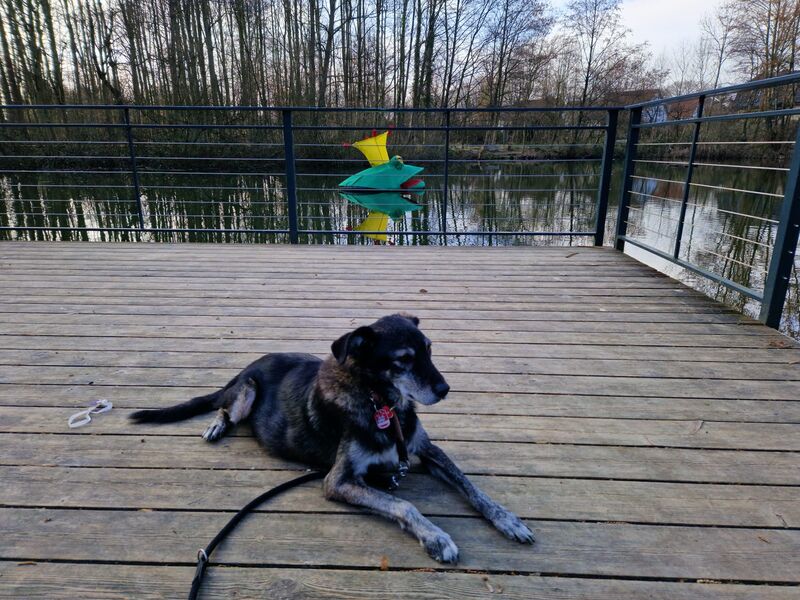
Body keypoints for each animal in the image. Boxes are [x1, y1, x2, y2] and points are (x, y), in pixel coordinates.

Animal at [130, 313, 534, 562]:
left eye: (430, 350)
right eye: (403, 359)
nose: (445, 389)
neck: (382, 405)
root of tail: (245, 368)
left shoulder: (425, 449)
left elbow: (471, 487)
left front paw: (508, 520)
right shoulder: (338, 480)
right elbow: (404, 504)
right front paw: (436, 537)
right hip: (246, 392)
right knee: (224, 407)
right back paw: (217, 424)